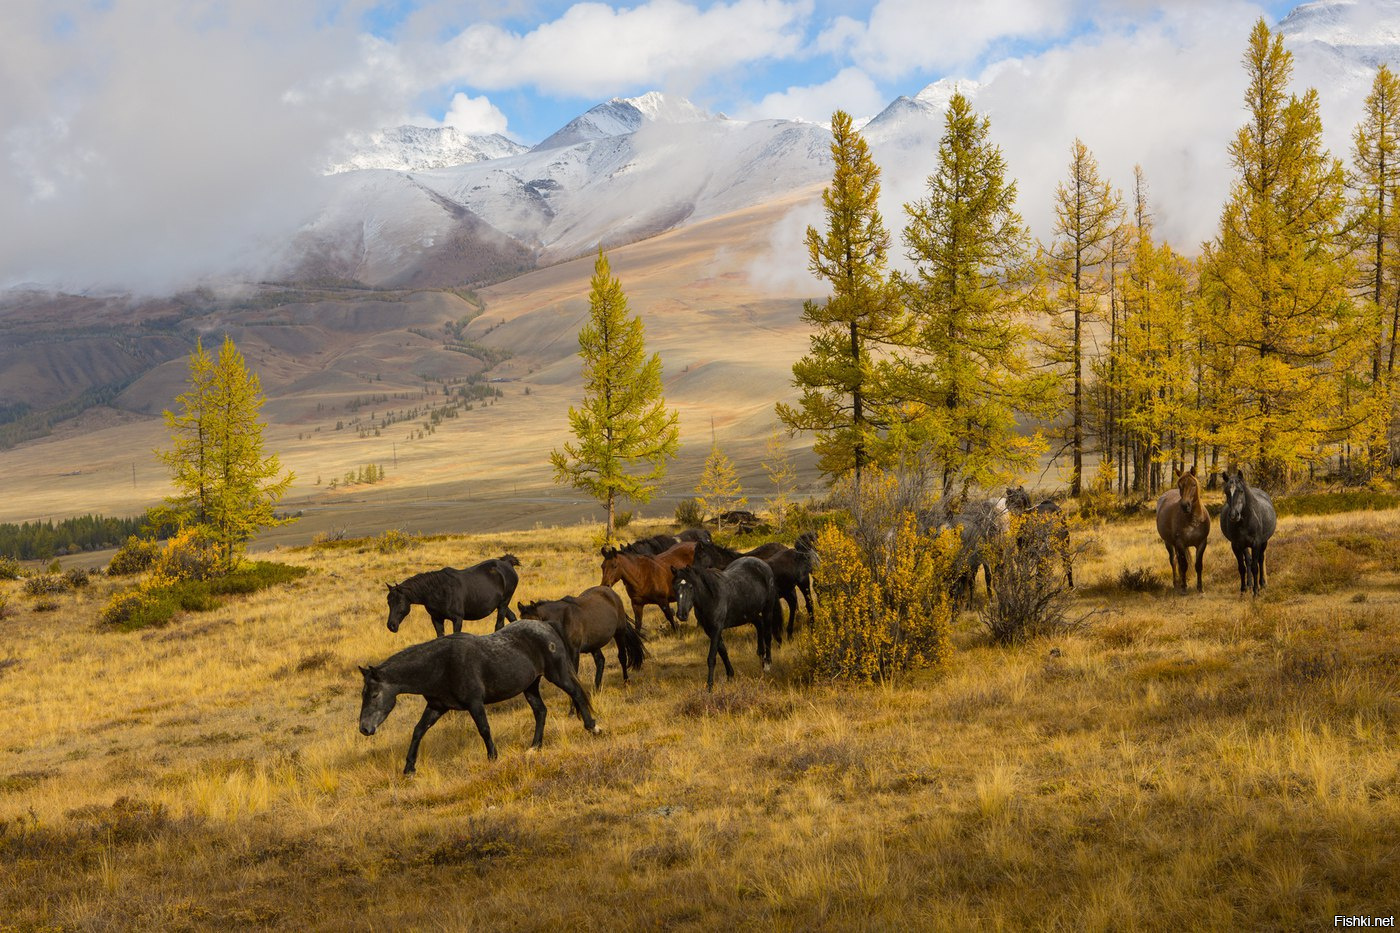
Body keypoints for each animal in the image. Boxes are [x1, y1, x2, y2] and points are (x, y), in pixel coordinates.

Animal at [358, 616, 599, 767]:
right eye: (363, 694)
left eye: (374, 694)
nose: (364, 728)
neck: (441, 664)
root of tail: (547, 626)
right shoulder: (436, 707)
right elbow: (418, 730)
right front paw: (409, 768)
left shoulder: (475, 703)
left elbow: (484, 728)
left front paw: (493, 757)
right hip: (530, 686)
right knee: (540, 711)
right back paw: (534, 747)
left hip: (557, 675)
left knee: (577, 694)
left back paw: (593, 727)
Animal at [386, 551, 523, 633]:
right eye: (388, 603)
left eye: (399, 602)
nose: (391, 625)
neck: (439, 591)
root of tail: (507, 563)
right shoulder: (437, 620)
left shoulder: (457, 619)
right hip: (501, 604)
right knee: (512, 618)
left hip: (504, 603)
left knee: (499, 625)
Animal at [515, 588, 644, 689]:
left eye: (533, 622)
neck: (562, 619)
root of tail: (612, 593)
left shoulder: (574, 651)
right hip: (594, 644)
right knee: (600, 661)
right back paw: (596, 689)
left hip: (619, 633)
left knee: (622, 657)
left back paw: (626, 682)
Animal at [666, 554, 778, 686]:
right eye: (675, 588)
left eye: (691, 587)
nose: (682, 615)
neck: (711, 598)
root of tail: (763, 564)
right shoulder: (709, 630)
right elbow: (723, 651)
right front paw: (730, 675)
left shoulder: (716, 628)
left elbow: (711, 657)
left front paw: (709, 686)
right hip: (750, 613)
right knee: (759, 624)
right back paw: (761, 659)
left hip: (767, 609)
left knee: (768, 634)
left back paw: (767, 664)